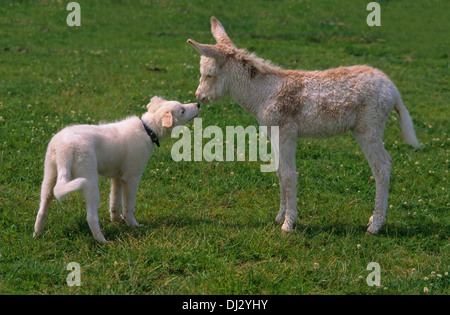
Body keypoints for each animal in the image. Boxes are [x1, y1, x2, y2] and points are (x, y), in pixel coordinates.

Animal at [33, 96, 199, 244]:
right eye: (182, 111)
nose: (198, 104)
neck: (148, 129)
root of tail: (64, 148)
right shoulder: (131, 178)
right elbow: (128, 206)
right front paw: (133, 225)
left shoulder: (117, 178)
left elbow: (115, 201)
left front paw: (116, 220)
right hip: (89, 182)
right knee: (91, 217)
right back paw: (103, 241)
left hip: (49, 178)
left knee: (42, 210)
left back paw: (37, 236)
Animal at [186, 16, 418, 235]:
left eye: (209, 74)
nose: (199, 97)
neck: (264, 94)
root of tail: (392, 88)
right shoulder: (274, 133)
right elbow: (280, 172)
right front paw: (280, 216)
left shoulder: (286, 133)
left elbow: (289, 175)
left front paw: (288, 224)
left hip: (368, 128)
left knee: (382, 166)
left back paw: (375, 226)